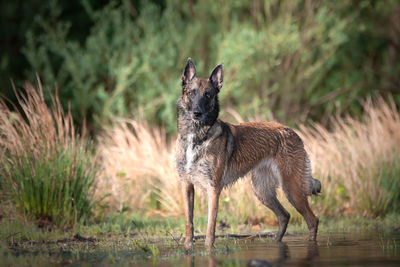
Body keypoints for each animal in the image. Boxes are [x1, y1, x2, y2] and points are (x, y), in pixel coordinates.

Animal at [175, 58, 322, 251]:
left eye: (208, 95)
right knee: (284, 216)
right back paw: (276, 243)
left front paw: (208, 251)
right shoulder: (187, 186)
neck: (197, 137)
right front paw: (187, 248)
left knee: (312, 220)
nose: (197, 113)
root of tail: (292, 132)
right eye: (191, 93)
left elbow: (210, 227)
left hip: (292, 189)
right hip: (262, 191)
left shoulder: (213, 189)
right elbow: (189, 223)